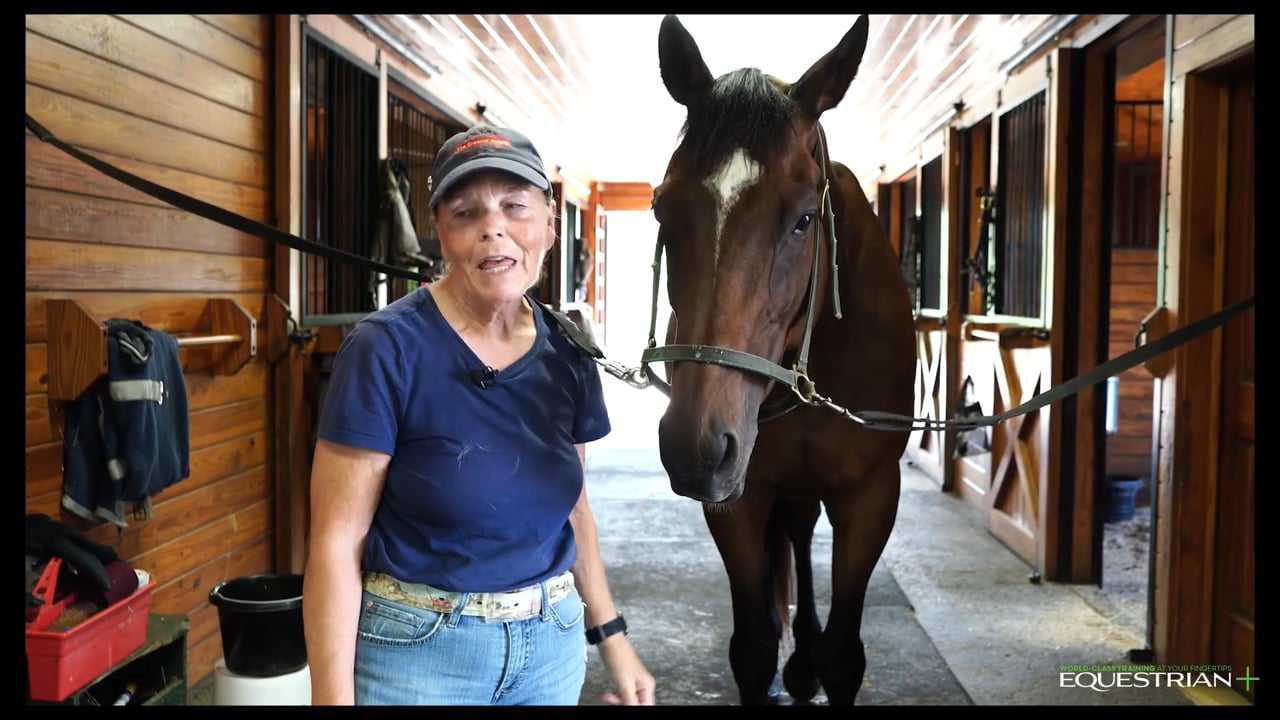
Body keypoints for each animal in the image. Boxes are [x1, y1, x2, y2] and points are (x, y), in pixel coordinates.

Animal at [645, 14, 917, 706]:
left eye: (803, 220)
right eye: (662, 208)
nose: (696, 447)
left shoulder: (871, 495)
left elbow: (845, 656)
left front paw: (820, 659)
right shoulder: (739, 499)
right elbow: (753, 647)